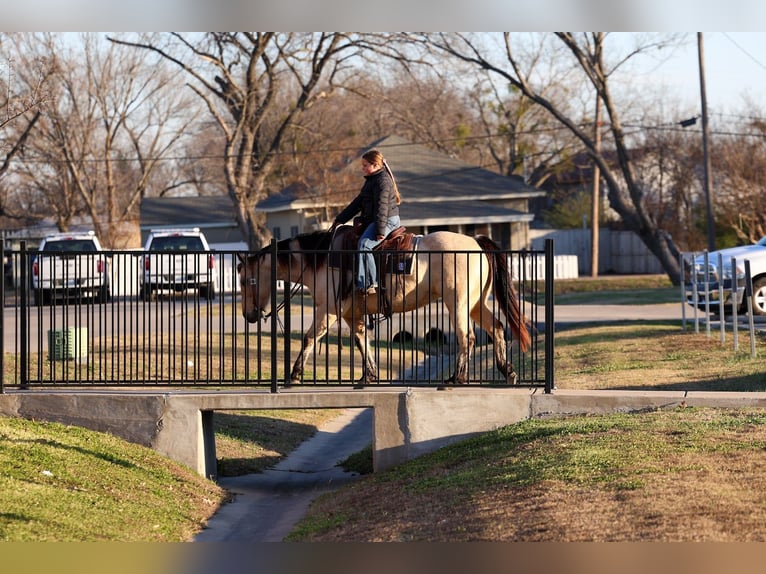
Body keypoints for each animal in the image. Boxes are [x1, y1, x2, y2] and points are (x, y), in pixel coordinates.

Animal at [237, 225, 531, 387]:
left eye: (245, 280)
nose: (248, 315)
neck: (320, 260)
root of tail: (475, 243)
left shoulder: (328, 310)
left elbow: (310, 337)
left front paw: (295, 374)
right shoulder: (351, 313)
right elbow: (361, 341)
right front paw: (369, 375)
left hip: (457, 303)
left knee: (466, 337)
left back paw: (456, 378)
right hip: (475, 303)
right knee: (497, 327)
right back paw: (507, 371)